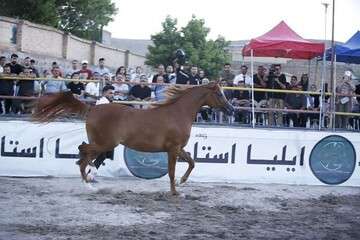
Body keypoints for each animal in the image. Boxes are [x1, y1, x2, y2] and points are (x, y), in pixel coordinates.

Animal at [31, 82, 233, 195]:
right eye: (219, 93)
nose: (231, 109)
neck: (178, 113)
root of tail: (92, 108)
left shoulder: (178, 148)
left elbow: (192, 162)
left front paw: (180, 183)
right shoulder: (173, 149)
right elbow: (171, 171)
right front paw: (175, 191)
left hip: (102, 144)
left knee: (85, 154)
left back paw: (89, 181)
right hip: (104, 143)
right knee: (83, 153)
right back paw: (89, 181)